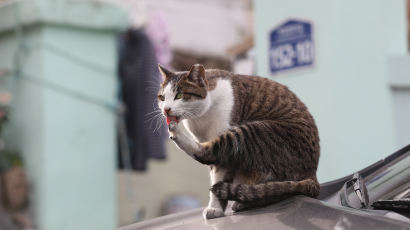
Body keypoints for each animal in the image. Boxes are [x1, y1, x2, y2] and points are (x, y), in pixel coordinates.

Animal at [157, 63, 320, 219]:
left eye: (179, 95)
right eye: (162, 98)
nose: (166, 109)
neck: (199, 118)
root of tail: (312, 173)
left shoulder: (223, 143)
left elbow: (217, 174)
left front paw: (215, 208)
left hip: (253, 132)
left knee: (207, 152)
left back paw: (176, 132)